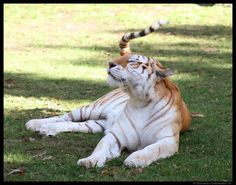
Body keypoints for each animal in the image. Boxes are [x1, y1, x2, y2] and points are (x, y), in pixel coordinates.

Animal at [25, 19, 192, 168]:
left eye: (133, 62)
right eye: (123, 57)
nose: (110, 63)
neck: (140, 101)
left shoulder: (168, 140)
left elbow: (152, 149)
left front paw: (135, 160)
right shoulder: (115, 135)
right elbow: (101, 146)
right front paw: (90, 160)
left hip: (98, 124)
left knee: (73, 124)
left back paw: (47, 129)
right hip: (92, 108)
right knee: (64, 117)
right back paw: (35, 124)